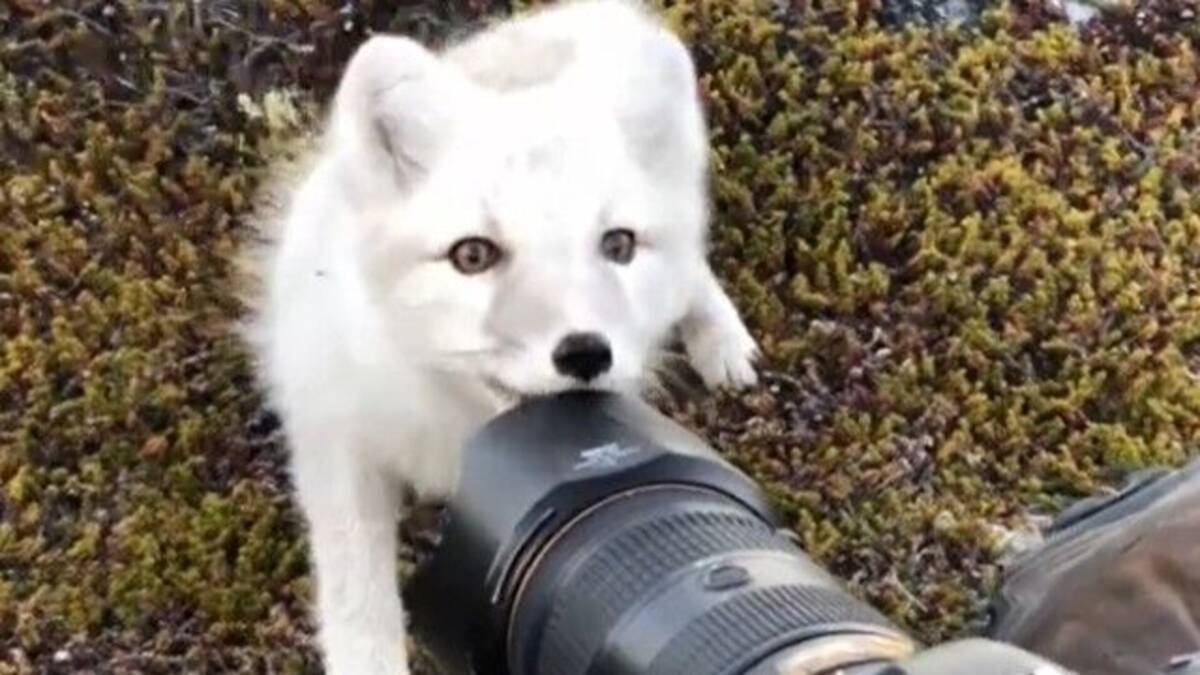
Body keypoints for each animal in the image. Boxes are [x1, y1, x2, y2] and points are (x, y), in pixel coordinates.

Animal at [237, 1, 753, 667]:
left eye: (618, 245)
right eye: (473, 255)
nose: (585, 353)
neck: (457, 422)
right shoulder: (338, 445)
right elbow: (359, 602)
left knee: (694, 265)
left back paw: (723, 342)